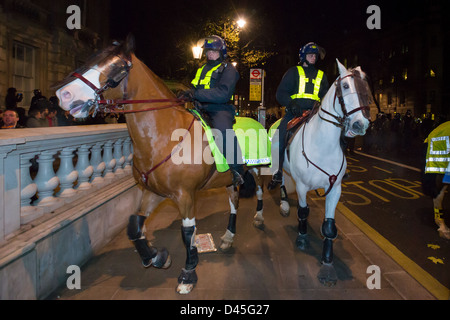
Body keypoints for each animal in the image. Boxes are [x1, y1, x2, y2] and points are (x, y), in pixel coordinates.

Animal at [53, 36, 264, 294]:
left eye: (116, 67)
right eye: (93, 57)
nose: (64, 94)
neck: (165, 136)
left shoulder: (185, 195)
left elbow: (188, 233)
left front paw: (188, 273)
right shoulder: (152, 192)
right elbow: (134, 226)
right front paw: (156, 256)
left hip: (260, 167)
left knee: (261, 190)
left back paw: (259, 218)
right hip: (229, 180)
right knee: (234, 201)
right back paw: (227, 237)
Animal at [266, 60, 370, 284]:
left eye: (366, 87)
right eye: (345, 86)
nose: (360, 124)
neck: (323, 145)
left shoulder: (335, 189)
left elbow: (329, 226)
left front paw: (327, 262)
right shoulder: (302, 186)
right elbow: (303, 211)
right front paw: (302, 237)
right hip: (280, 166)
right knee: (281, 179)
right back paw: (284, 203)